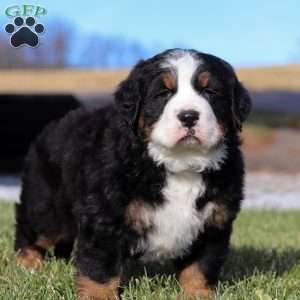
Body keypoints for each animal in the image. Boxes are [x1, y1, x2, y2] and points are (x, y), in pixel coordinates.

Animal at [15, 48, 252, 298]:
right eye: (163, 93)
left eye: (210, 91)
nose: (188, 116)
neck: (180, 163)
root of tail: (50, 127)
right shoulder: (104, 216)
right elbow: (100, 267)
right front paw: (99, 296)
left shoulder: (213, 223)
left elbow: (200, 267)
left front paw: (199, 294)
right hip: (48, 207)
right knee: (30, 228)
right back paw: (28, 264)